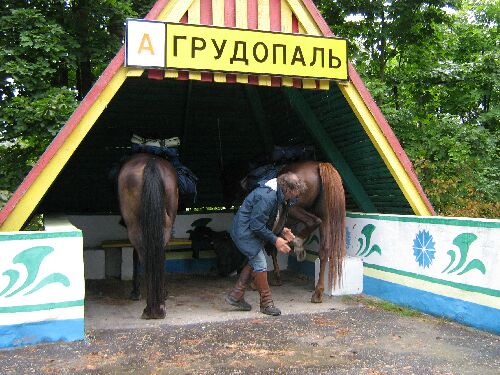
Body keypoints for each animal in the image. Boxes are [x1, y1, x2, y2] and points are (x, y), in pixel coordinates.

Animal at [117, 154, 179, 318]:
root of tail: (151, 162)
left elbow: (135, 257)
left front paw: (135, 292)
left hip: (135, 227)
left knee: (145, 255)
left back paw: (152, 308)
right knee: (158, 254)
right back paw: (158, 306)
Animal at [240, 160, 346, 304]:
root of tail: (319, 165)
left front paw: (256, 281)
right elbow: (271, 249)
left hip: (294, 207)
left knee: (313, 221)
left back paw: (298, 243)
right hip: (325, 216)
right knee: (325, 250)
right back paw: (317, 293)